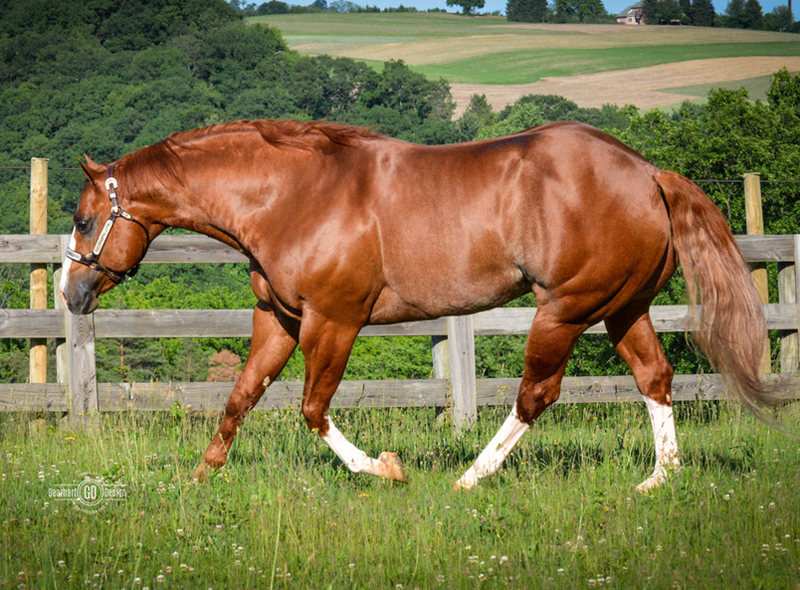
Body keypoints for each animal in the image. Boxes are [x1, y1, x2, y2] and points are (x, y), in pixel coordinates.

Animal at [60, 119, 781, 491]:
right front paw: (201, 477)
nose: (72, 293)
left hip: (567, 309)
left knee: (536, 395)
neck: (291, 195)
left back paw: (470, 478)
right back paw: (658, 479)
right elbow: (239, 398)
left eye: (83, 219)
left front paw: (385, 469)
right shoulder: (280, 321)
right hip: (621, 308)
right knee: (654, 377)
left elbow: (312, 409)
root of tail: (648, 172)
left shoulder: (334, 321)